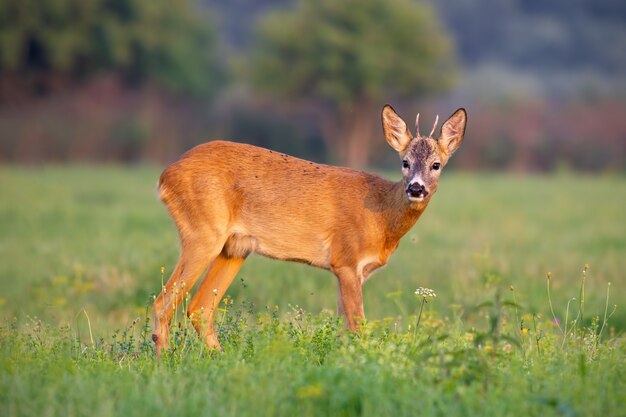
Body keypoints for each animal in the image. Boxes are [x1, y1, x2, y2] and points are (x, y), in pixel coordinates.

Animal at [151, 105, 464, 354]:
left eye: (436, 164)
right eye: (405, 162)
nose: (416, 188)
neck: (382, 215)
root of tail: (165, 175)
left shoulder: (352, 271)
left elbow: (344, 325)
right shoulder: (346, 260)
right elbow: (357, 325)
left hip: (235, 248)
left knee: (199, 308)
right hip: (203, 232)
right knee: (163, 302)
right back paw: (164, 361)